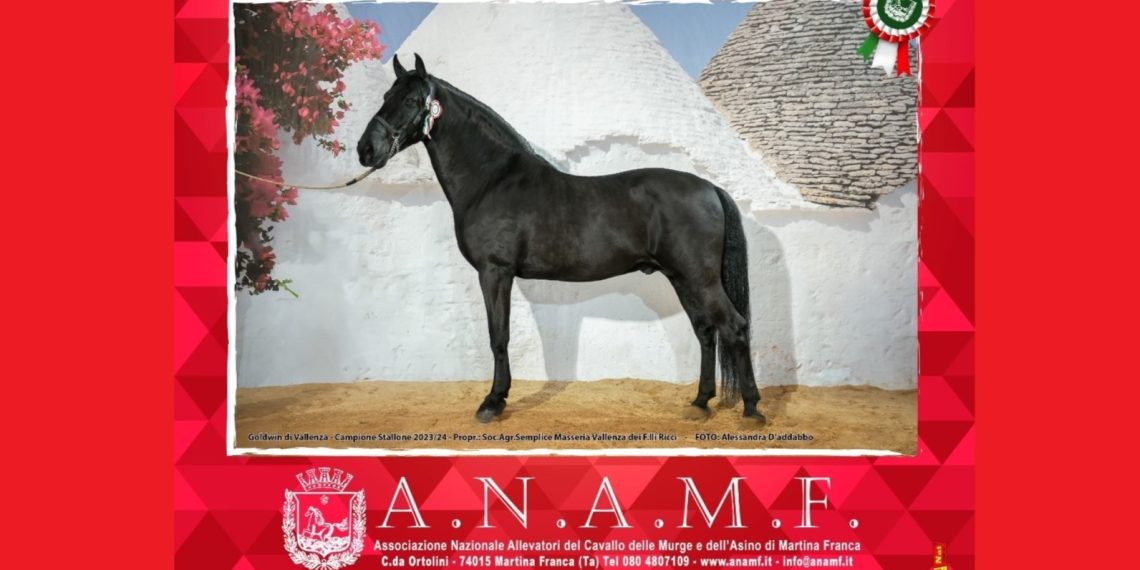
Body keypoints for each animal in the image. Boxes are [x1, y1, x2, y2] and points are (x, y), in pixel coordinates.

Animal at [357, 54, 765, 426]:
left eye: (411, 100)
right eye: (385, 96)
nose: (366, 150)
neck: (492, 180)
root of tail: (709, 188)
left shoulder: (495, 272)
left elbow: (498, 336)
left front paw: (493, 401)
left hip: (699, 278)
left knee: (734, 327)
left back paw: (751, 408)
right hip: (682, 277)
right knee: (706, 331)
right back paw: (700, 402)